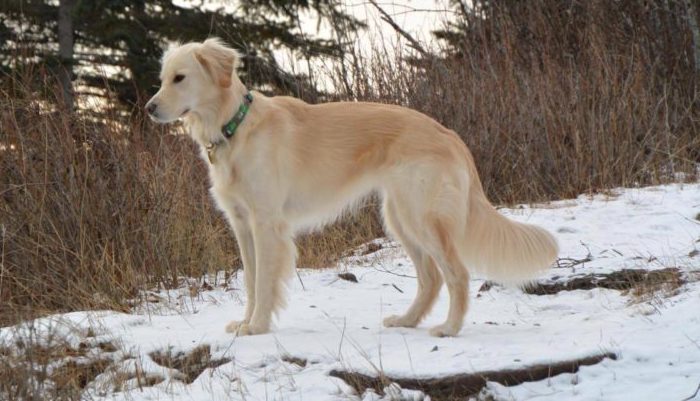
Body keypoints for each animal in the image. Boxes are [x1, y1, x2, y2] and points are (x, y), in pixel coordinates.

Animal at [146, 39, 556, 336]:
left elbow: (264, 283)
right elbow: (250, 280)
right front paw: (246, 323)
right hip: (399, 218)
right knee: (431, 278)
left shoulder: (266, 225)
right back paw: (407, 321)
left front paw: (258, 326)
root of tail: (450, 135)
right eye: (163, 78)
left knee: (456, 274)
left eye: (180, 78)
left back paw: (449, 328)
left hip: (422, 217)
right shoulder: (242, 225)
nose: (149, 108)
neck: (235, 126)